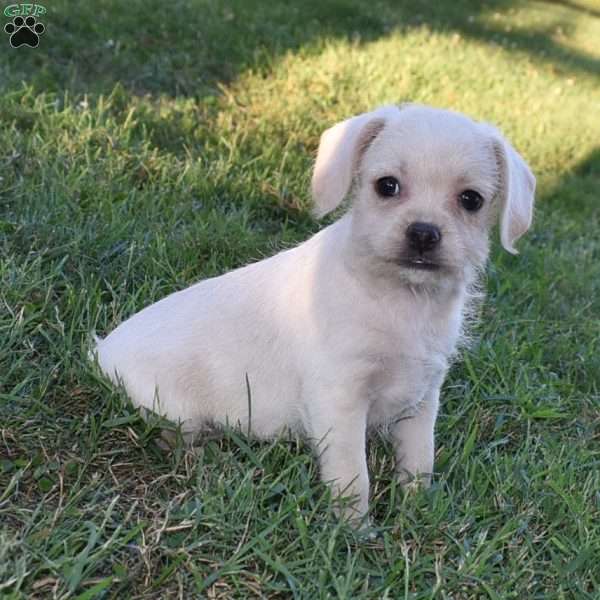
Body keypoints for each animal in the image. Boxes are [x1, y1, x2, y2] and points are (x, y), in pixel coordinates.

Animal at [96, 105, 536, 516]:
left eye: (471, 200)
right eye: (387, 186)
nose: (424, 234)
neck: (400, 298)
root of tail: (99, 351)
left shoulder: (422, 398)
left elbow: (418, 459)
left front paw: (416, 509)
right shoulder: (339, 399)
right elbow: (352, 473)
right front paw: (353, 529)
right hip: (172, 410)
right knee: (173, 439)